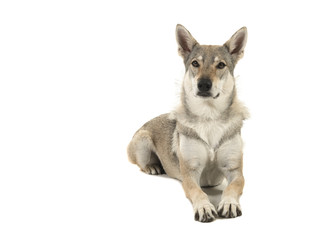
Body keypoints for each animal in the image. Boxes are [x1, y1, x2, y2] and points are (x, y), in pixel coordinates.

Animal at [127, 23, 248, 222]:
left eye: (221, 65)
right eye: (195, 63)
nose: (204, 84)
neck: (209, 117)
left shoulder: (234, 170)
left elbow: (232, 187)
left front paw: (229, 203)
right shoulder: (190, 173)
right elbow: (198, 192)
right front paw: (204, 207)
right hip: (143, 140)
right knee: (141, 164)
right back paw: (154, 166)